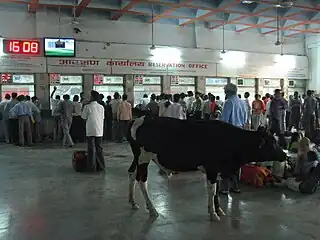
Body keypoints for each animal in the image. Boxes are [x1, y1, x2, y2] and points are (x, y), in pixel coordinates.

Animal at [127, 116, 288, 221]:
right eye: (272, 143)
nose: (285, 155)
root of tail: (139, 119)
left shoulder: (217, 171)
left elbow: (216, 189)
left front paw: (219, 210)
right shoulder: (212, 168)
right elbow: (212, 190)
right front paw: (213, 213)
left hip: (137, 157)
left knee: (131, 173)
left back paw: (133, 202)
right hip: (144, 157)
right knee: (142, 180)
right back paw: (152, 209)